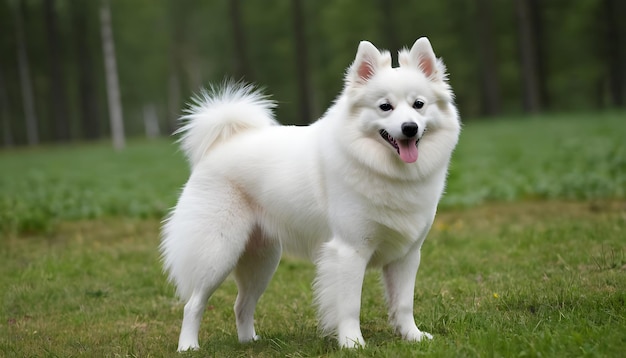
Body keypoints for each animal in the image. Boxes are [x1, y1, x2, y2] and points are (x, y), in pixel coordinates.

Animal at [158, 37, 458, 352]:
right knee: (193, 304)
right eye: (385, 107)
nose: (409, 128)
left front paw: (413, 337)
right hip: (218, 254)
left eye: (418, 105)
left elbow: (403, 303)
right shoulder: (349, 251)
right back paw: (188, 346)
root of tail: (220, 146)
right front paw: (352, 343)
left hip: (262, 261)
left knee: (242, 305)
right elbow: (349, 305)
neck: (387, 170)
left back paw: (249, 341)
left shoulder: (407, 255)